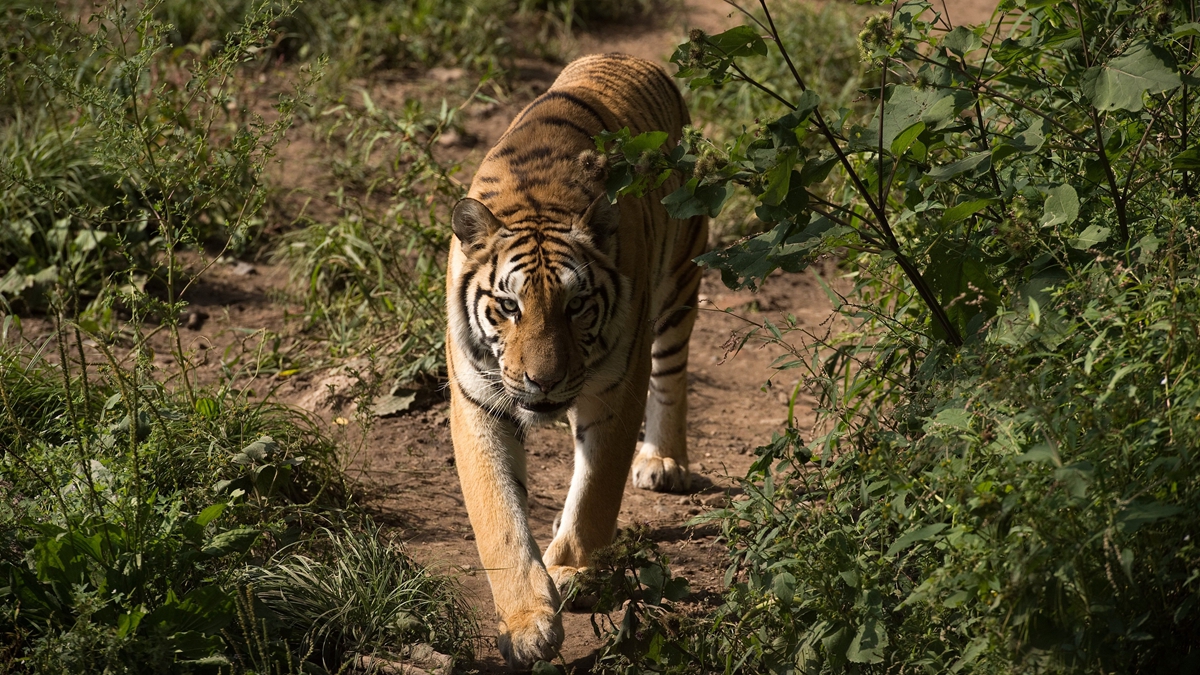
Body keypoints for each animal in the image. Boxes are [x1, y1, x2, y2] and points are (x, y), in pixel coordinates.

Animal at [446, 53, 705, 667]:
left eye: (577, 305)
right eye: (509, 306)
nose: (544, 381)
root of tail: (627, 56)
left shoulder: (616, 391)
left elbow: (597, 490)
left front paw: (574, 574)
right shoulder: (477, 403)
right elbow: (500, 517)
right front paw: (527, 625)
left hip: (682, 278)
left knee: (673, 373)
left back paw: (663, 460)